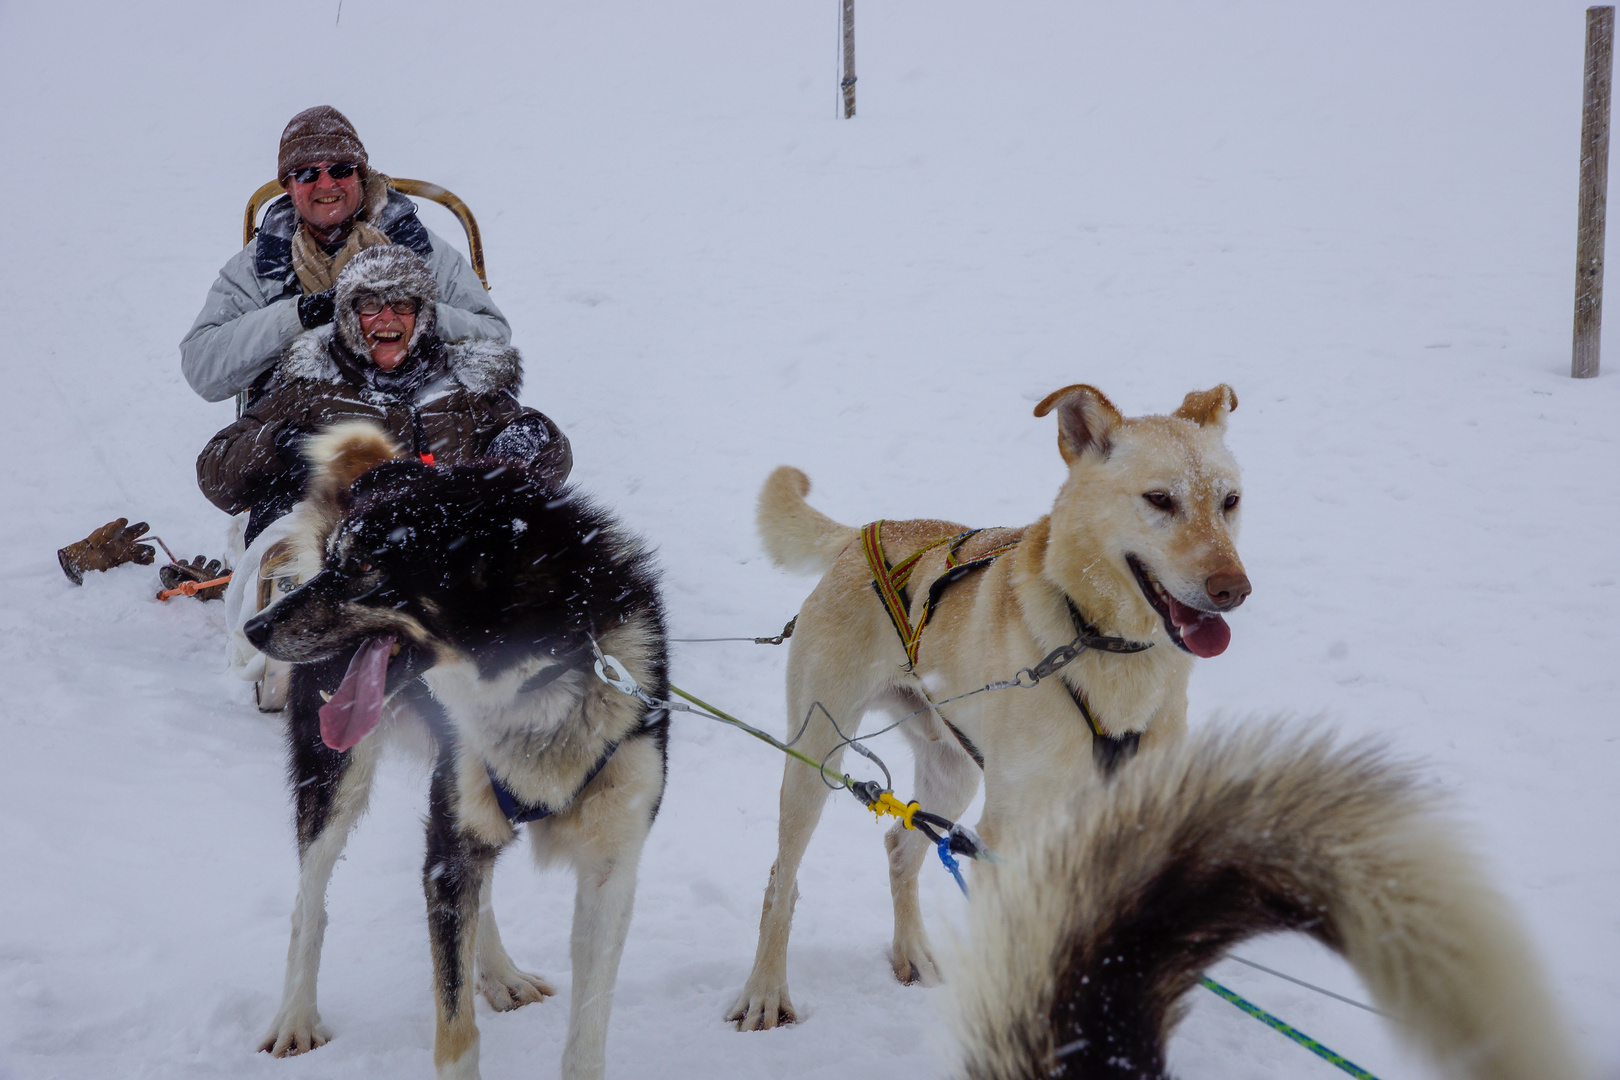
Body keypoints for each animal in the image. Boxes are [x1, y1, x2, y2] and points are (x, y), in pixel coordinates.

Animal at [735, 382, 1250, 1029]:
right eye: (1160, 499)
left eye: (1230, 501)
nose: (1234, 589)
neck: (1097, 642)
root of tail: (865, 534)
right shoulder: (1009, 841)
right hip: (818, 757)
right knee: (782, 880)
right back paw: (765, 991)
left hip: (952, 770)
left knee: (901, 846)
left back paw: (913, 952)